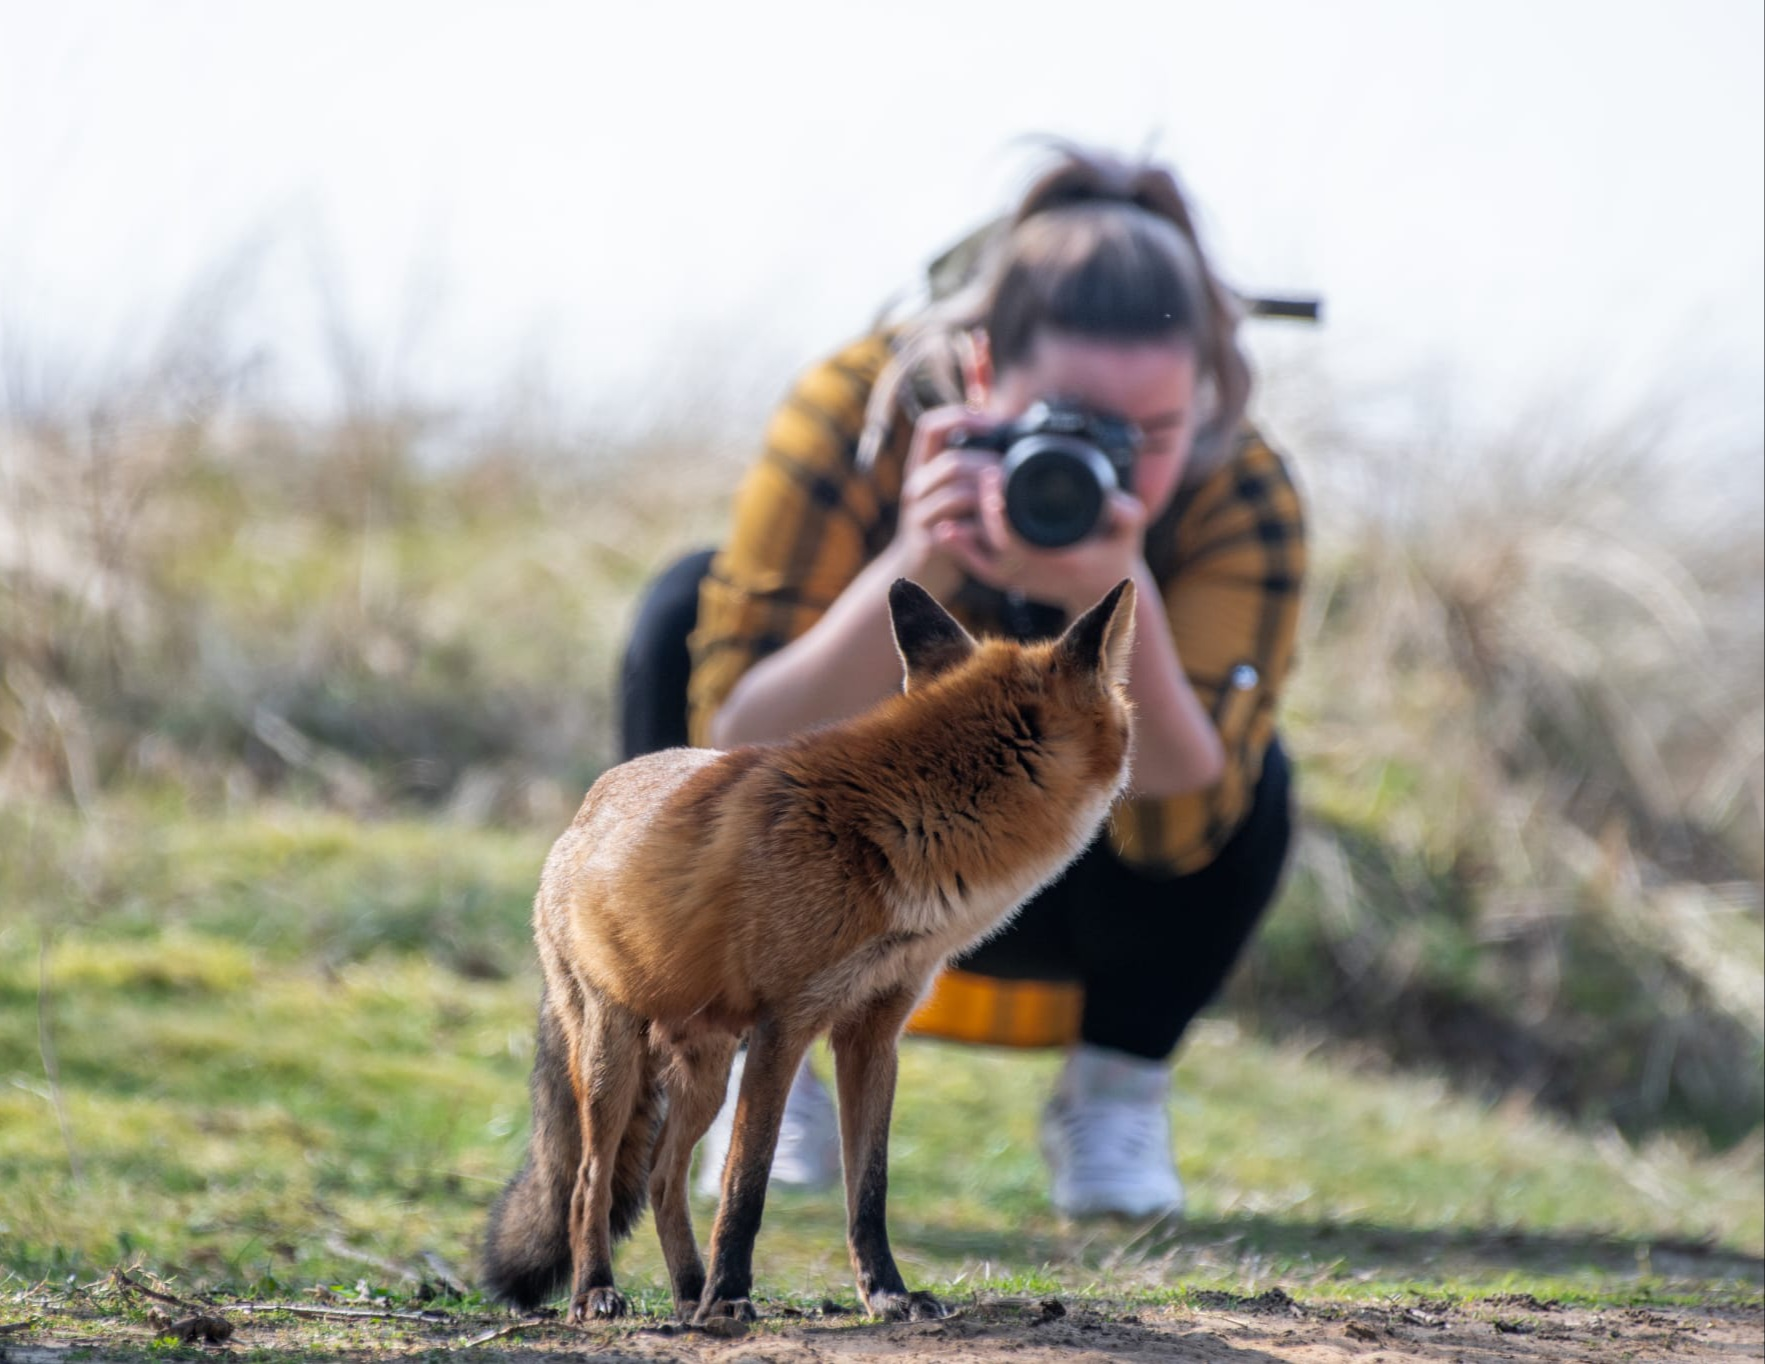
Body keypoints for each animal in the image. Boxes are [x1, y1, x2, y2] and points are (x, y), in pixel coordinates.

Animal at [483, 571, 1136, 1319]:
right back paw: (599, 1290)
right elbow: (747, 1183)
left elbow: (869, 1190)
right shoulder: (784, 1027)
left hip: (706, 1073)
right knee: (590, 1181)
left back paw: (686, 1293)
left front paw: (885, 1293)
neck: (905, 834)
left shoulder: (873, 1032)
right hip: (611, 1058)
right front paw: (731, 1297)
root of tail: (586, 807)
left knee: (660, 1178)